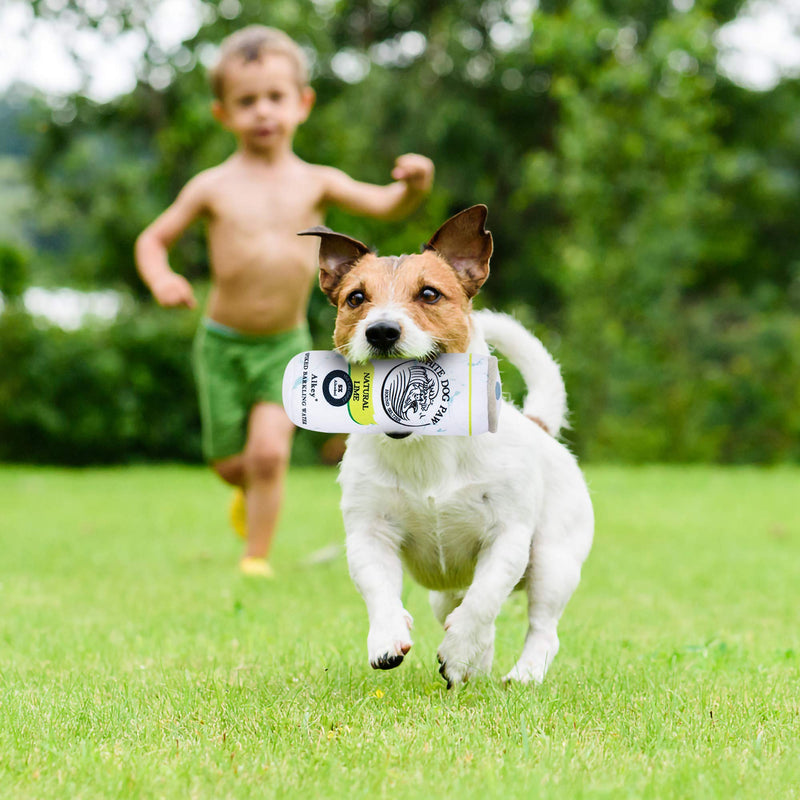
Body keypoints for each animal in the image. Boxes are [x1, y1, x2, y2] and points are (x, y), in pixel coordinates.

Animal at [300, 203, 592, 684]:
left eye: (430, 294)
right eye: (356, 299)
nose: (381, 331)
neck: (425, 443)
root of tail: (539, 425)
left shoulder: (507, 537)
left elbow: (484, 599)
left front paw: (457, 650)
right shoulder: (368, 532)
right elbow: (379, 589)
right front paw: (387, 639)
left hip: (554, 561)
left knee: (540, 627)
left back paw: (520, 674)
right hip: (446, 590)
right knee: (462, 609)